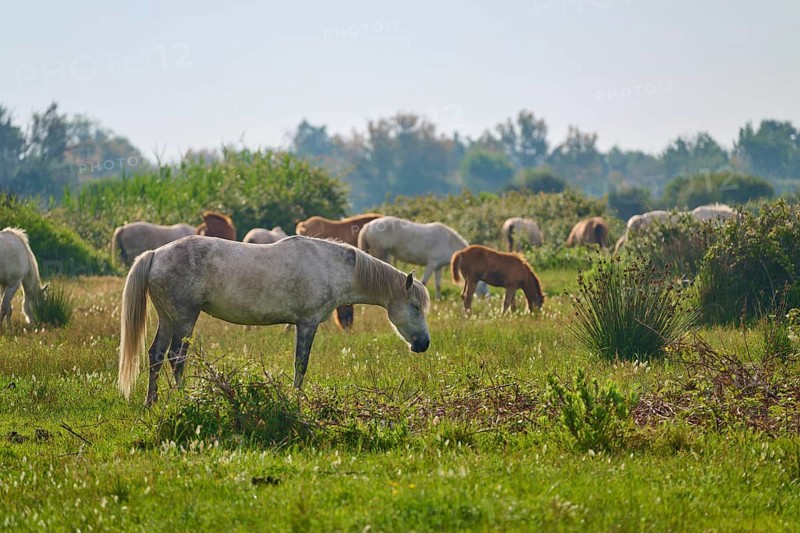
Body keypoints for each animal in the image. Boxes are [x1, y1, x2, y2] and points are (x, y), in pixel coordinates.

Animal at [117, 235, 431, 405]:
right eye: (415, 306)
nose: (424, 344)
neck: (329, 266)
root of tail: (156, 254)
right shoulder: (307, 323)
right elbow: (301, 364)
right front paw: (296, 398)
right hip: (185, 318)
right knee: (176, 358)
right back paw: (182, 398)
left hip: (168, 319)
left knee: (156, 355)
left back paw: (151, 402)